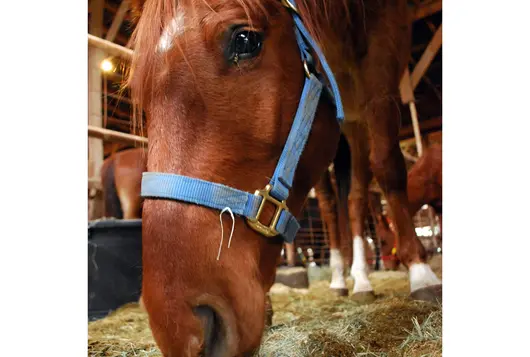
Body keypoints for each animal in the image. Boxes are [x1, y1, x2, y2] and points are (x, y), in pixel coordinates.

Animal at [127, 0, 438, 354]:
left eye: (245, 40)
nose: (178, 330)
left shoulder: (383, 51)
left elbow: (388, 165)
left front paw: (421, 272)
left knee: (357, 197)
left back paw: (361, 279)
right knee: (332, 204)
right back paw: (340, 278)